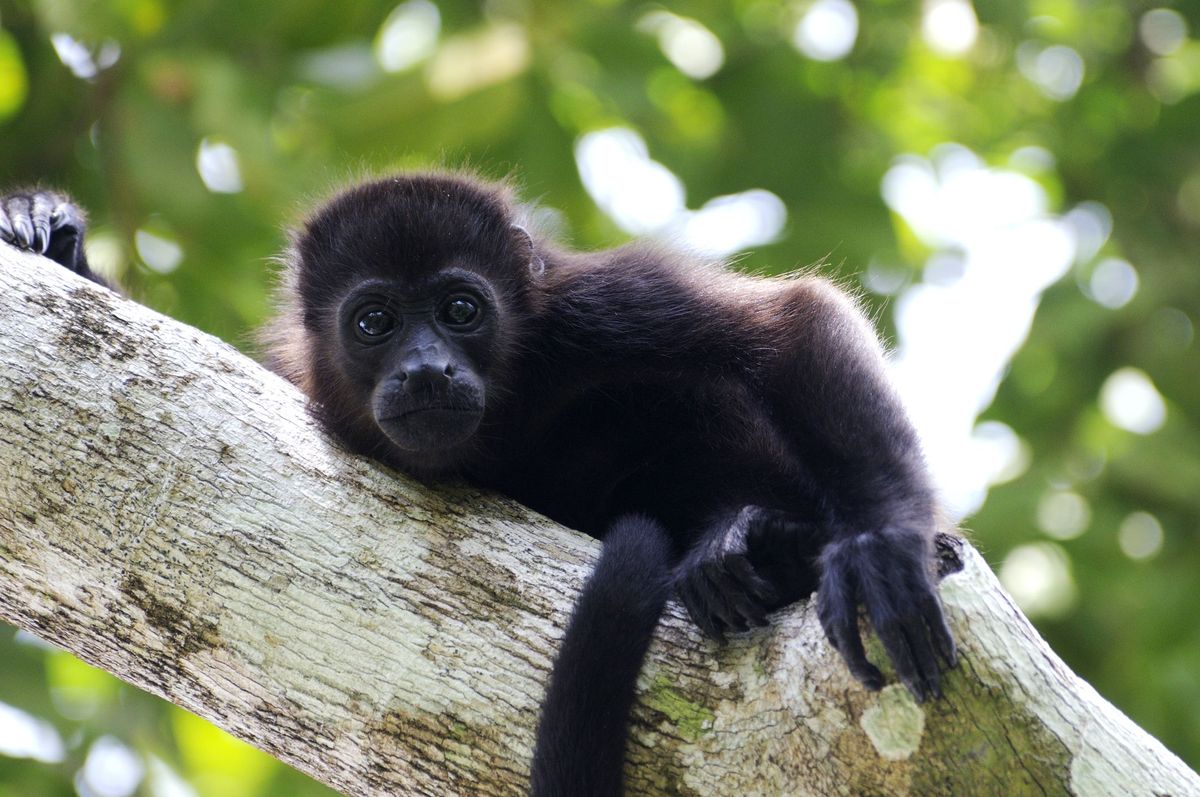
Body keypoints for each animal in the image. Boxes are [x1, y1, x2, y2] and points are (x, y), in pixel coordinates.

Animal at [2, 175, 956, 797]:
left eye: (461, 309)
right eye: (375, 321)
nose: (426, 368)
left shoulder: (599, 306)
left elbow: (788, 323)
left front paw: (884, 546)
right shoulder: (308, 375)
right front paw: (45, 225)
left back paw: (758, 538)